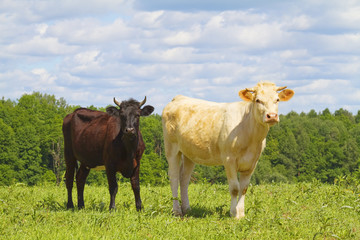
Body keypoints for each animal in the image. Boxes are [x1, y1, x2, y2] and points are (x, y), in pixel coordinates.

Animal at [162, 81, 294, 218]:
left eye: (277, 99)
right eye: (258, 100)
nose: (272, 116)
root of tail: (178, 98)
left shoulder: (252, 162)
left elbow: (244, 188)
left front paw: (241, 214)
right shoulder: (229, 160)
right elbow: (235, 188)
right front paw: (233, 213)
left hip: (190, 153)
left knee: (184, 178)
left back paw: (187, 209)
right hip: (171, 148)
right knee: (174, 177)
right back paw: (177, 211)